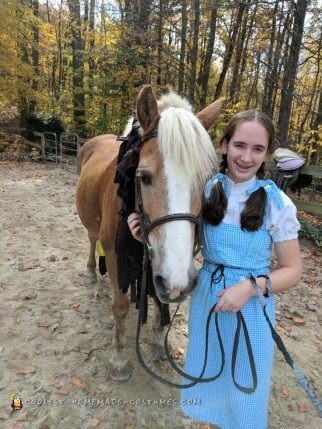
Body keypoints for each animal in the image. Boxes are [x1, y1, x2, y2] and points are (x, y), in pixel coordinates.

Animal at [76, 85, 223, 380]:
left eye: (205, 181)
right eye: (144, 177)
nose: (180, 283)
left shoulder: (163, 265)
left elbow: (160, 299)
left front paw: (157, 341)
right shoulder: (116, 255)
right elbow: (120, 307)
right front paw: (119, 359)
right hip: (93, 229)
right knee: (91, 240)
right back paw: (90, 273)